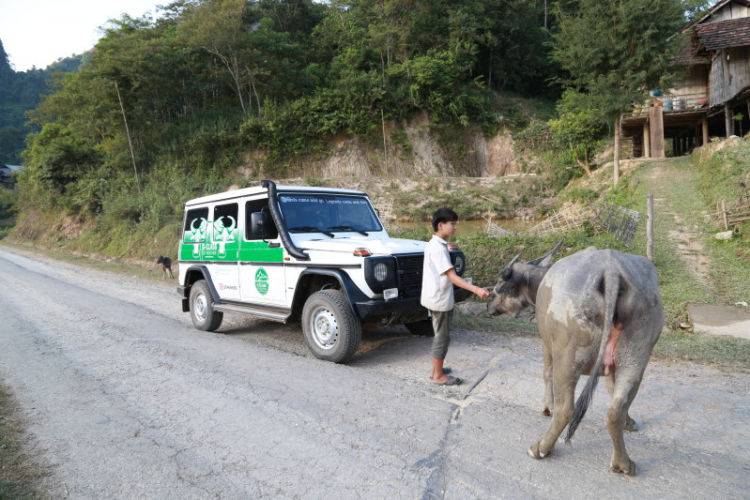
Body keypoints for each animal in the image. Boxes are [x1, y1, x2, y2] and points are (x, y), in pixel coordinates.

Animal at [490, 245, 668, 476]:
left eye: (501, 289)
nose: (490, 308)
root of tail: (611, 269)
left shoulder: (547, 345)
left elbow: (546, 374)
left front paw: (546, 407)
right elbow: (612, 390)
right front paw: (630, 421)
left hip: (568, 358)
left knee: (566, 409)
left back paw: (540, 448)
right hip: (635, 359)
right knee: (616, 409)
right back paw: (623, 462)